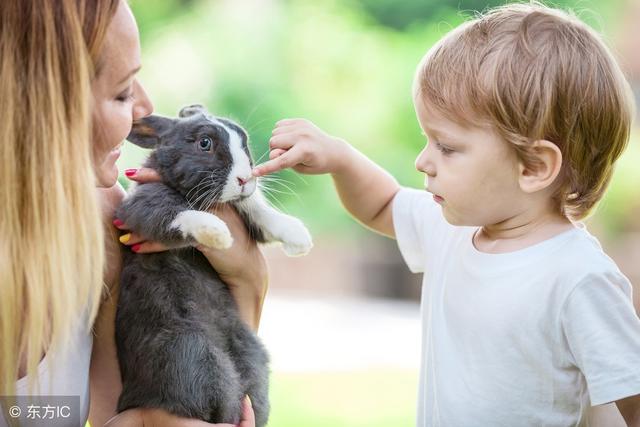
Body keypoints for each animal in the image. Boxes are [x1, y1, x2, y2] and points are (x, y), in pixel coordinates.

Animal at [115, 104, 316, 427]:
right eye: (204, 143)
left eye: (244, 140)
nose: (245, 179)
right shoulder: (141, 206)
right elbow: (177, 214)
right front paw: (219, 234)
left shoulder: (246, 211)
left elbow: (256, 209)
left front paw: (299, 238)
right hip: (191, 354)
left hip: (251, 355)